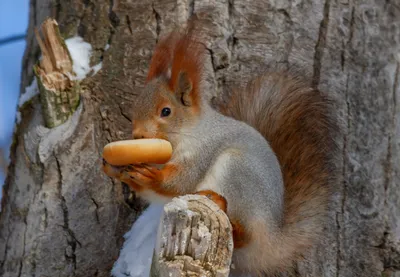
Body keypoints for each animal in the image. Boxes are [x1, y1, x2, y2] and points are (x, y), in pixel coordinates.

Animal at [103, 18, 340, 274]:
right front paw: (115, 168)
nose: (137, 135)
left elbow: (180, 182)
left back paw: (220, 204)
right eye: (136, 106)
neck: (187, 133)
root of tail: (273, 238)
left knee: (246, 234)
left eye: (166, 111)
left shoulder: (203, 152)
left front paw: (152, 176)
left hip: (237, 171)